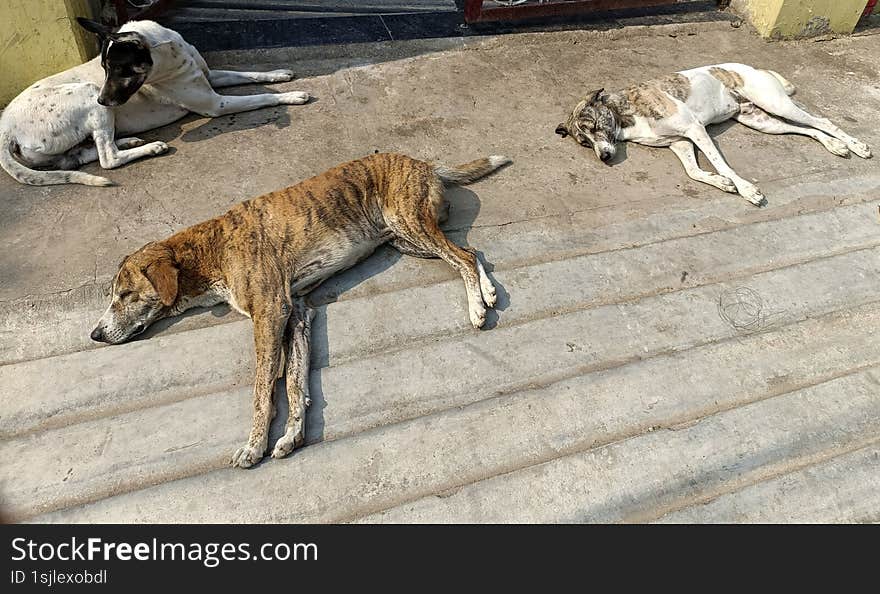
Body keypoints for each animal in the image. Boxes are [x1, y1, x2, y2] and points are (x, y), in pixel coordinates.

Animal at [89, 151, 508, 468]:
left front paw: (254, 446)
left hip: (408, 224)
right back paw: (488, 291)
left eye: (125, 294)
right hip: (405, 240)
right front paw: (291, 436)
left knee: (462, 258)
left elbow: (262, 390)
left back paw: (477, 308)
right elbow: (293, 382)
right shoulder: (298, 315)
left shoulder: (271, 313)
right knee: (471, 251)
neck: (210, 251)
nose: (94, 335)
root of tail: (422, 161)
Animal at [556, 62, 872, 206]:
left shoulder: (695, 130)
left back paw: (856, 145)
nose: (604, 157)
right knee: (807, 129)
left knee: (824, 120)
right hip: (761, 121)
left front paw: (745, 189)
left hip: (775, 103)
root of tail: (754, 67)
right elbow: (694, 172)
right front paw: (722, 183)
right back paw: (835, 146)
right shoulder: (679, 143)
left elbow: (721, 164)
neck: (625, 115)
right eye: (585, 143)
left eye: (595, 127)